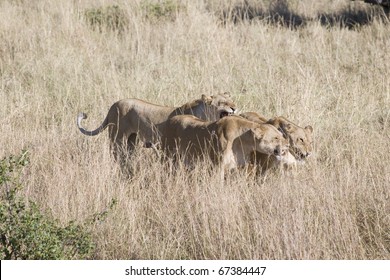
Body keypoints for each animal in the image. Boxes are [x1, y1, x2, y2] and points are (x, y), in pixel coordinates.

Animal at [76, 93, 235, 161]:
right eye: (223, 103)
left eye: (231, 100)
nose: (234, 107)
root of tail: (113, 105)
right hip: (117, 138)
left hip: (132, 140)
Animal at [161, 113, 290, 175]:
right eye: (276, 138)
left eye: (281, 134)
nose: (288, 145)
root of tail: (170, 119)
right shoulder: (218, 166)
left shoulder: (240, 166)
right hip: (168, 157)